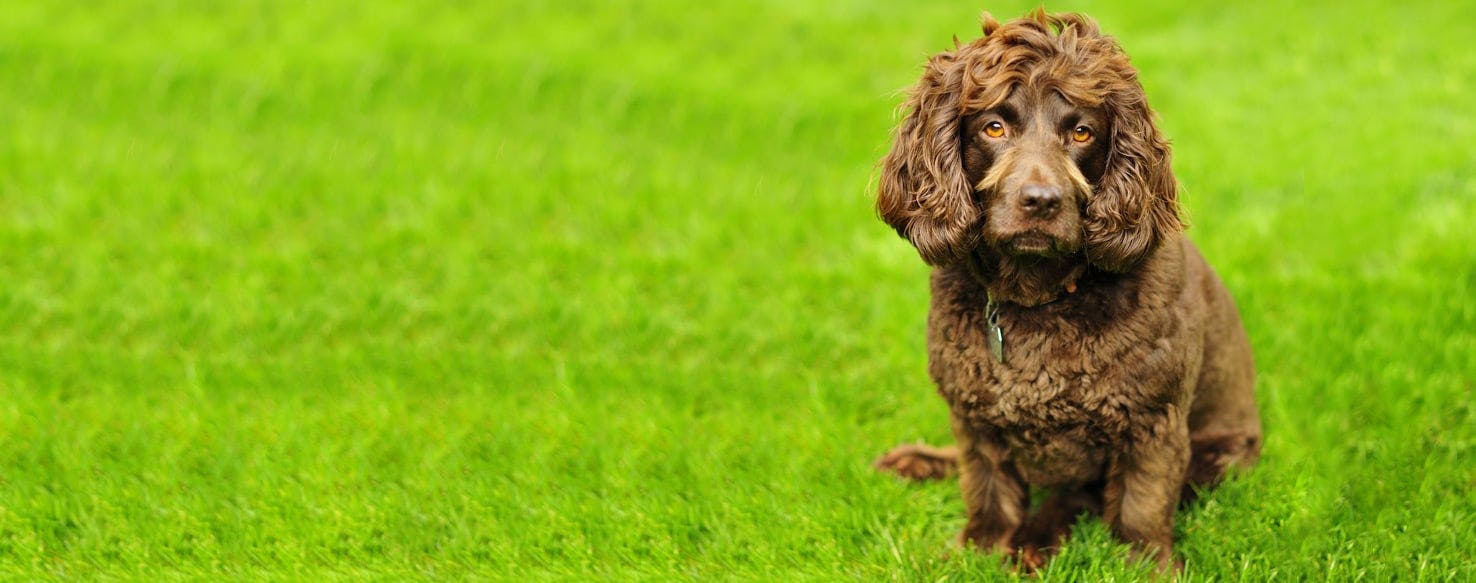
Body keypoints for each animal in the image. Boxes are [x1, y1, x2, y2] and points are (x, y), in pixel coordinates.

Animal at [867, 10, 1263, 575]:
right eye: (994, 126)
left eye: (1081, 131)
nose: (1041, 200)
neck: (1037, 301)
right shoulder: (974, 417)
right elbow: (986, 487)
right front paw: (979, 549)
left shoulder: (1153, 423)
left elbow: (1141, 506)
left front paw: (1149, 567)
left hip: (1220, 452)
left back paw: (1036, 538)